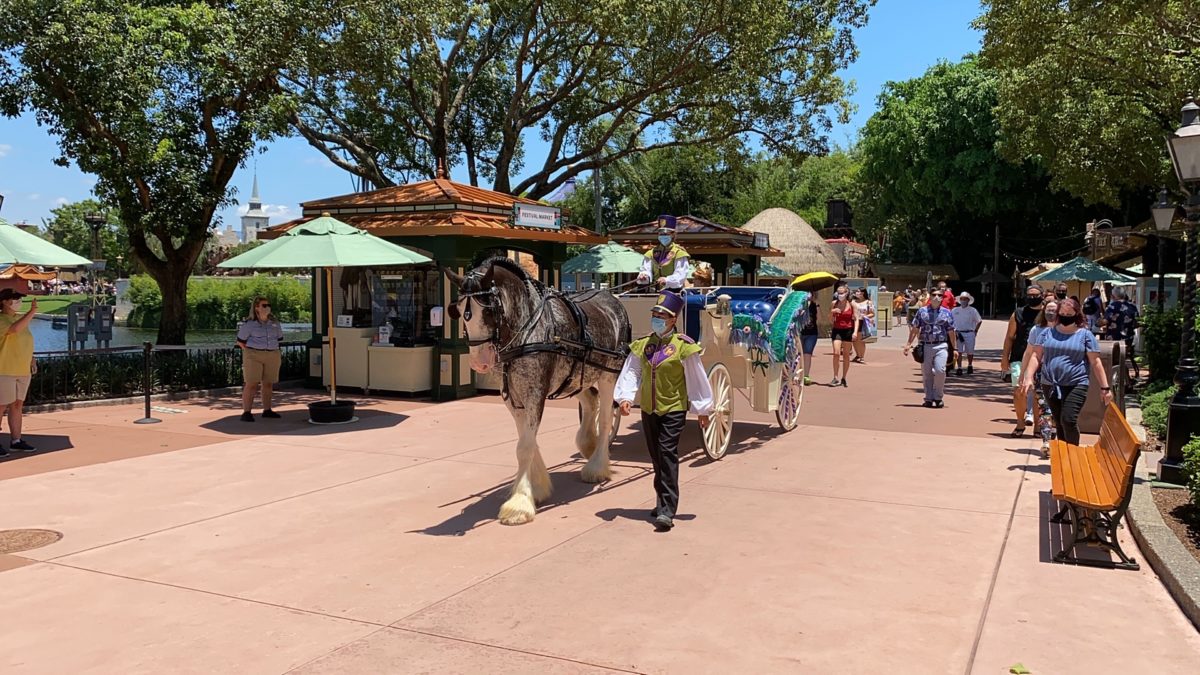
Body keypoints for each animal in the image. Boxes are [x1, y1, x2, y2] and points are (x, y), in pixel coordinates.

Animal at [446, 254, 633, 523]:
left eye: (489, 310)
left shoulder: (535, 392)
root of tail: (612, 298)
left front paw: (520, 503)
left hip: (610, 373)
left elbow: (524, 446)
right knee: (591, 402)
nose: (479, 361)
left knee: (607, 417)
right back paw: (587, 443)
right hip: (577, 375)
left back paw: (597, 466)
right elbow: (527, 440)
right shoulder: (512, 395)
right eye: (460, 310)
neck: (526, 329)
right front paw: (537, 487)